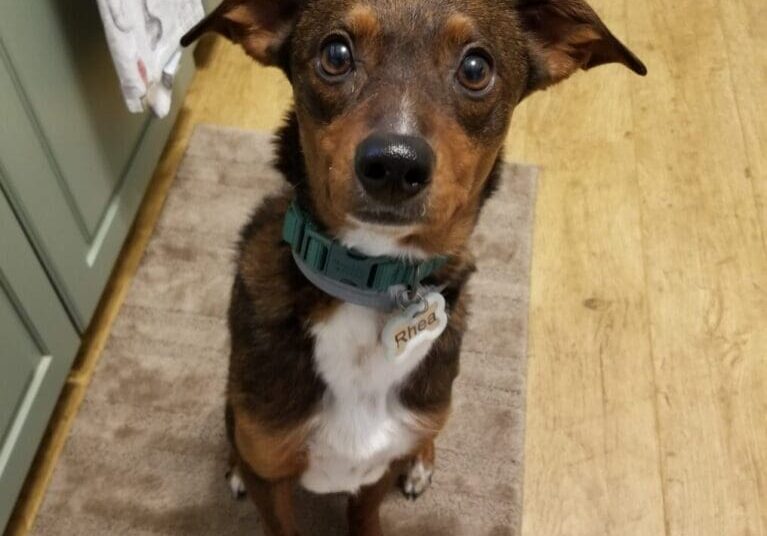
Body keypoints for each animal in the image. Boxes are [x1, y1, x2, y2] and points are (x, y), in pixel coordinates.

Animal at [182, 2, 648, 532]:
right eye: (335, 54)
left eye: (475, 68)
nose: (395, 164)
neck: (369, 282)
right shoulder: (270, 465)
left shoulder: (380, 463)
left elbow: (366, 512)